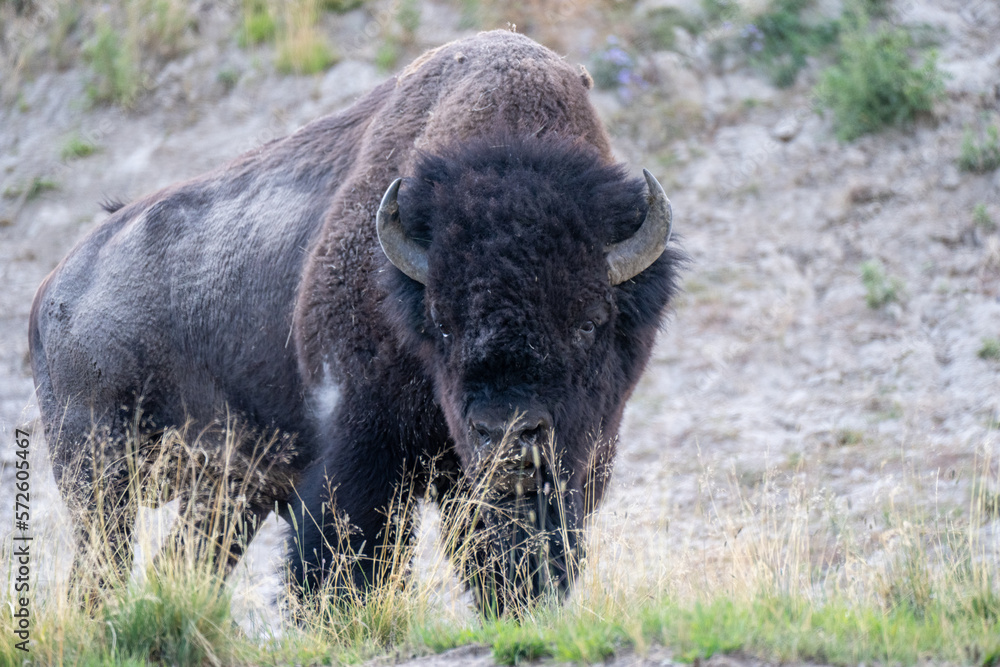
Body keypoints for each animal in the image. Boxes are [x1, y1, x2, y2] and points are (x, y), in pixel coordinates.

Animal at [29, 30, 682, 614]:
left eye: (590, 320)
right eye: (442, 323)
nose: (505, 434)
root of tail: (52, 288)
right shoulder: (361, 443)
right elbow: (346, 552)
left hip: (226, 491)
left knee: (186, 561)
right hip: (100, 472)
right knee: (102, 566)